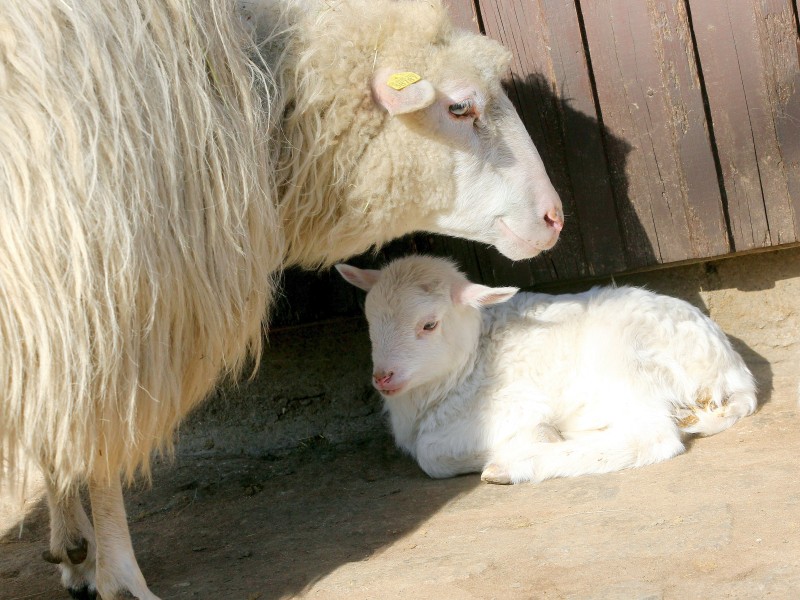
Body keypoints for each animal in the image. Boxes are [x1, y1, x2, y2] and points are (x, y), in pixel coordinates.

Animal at [0, 1, 564, 600]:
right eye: (460, 107)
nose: (555, 217)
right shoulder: (107, 282)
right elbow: (100, 445)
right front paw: (119, 576)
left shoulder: (58, 288)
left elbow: (59, 423)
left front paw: (77, 550)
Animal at [336, 255, 756, 486]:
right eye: (370, 319)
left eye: (428, 324)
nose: (383, 377)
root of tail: (734, 376)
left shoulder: (515, 404)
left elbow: (430, 455)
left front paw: (536, 438)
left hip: (624, 360)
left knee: (653, 438)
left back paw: (513, 465)